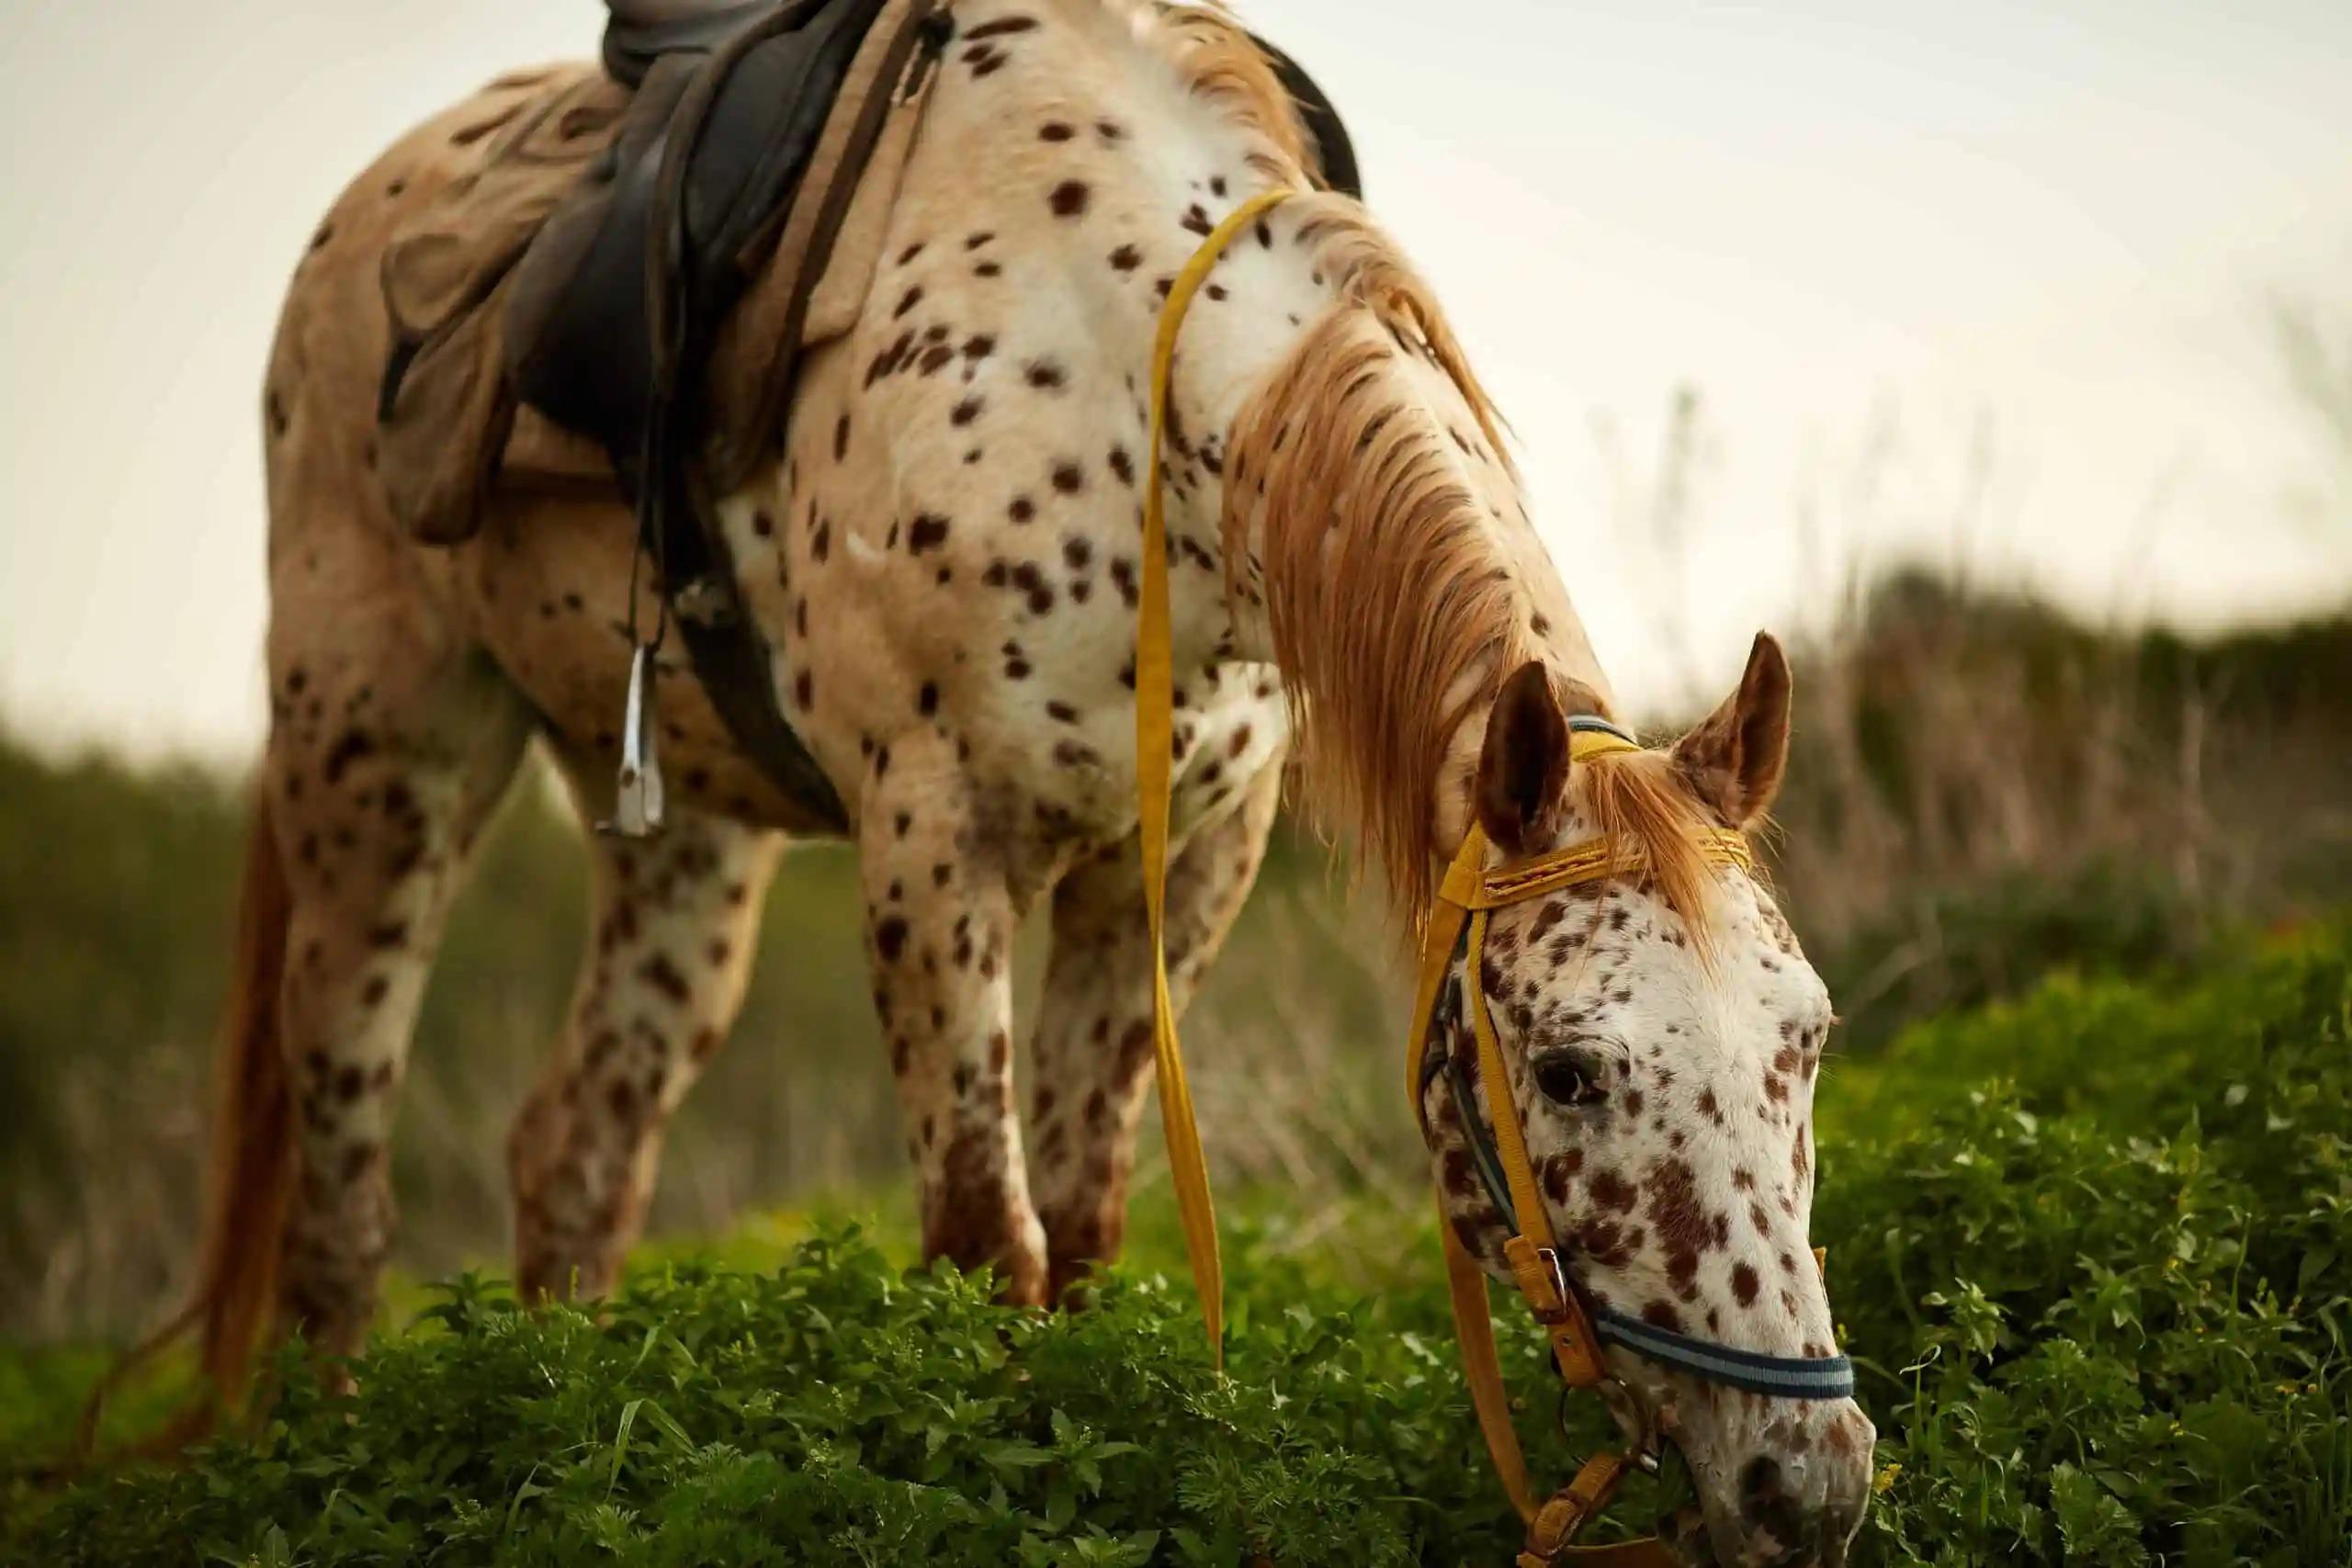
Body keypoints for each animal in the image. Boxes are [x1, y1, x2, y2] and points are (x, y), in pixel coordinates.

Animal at [177, 1, 1869, 1558]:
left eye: (1808, 1041)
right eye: (1572, 1069)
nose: (1812, 1483)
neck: (1132, 382)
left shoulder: (1174, 866)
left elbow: (1086, 1224)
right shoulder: (934, 843)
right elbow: (991, 1238)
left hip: (681, 840)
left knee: (576, 1152)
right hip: (378, 765)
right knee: (339, 1181)